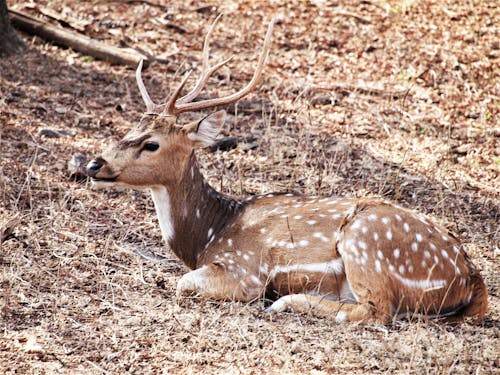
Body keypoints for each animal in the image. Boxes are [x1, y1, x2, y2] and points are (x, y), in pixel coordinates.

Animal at [87, 17, 488, 324]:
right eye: (129, 129)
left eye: (151, 144)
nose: (94, 163)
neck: (209, 235)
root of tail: (472, 279)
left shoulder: (245, 269)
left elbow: (182, 283)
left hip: (366, 242)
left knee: (376, 311)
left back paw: (284, 303)